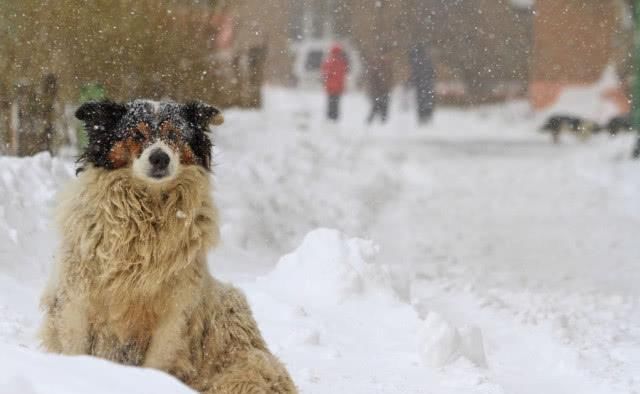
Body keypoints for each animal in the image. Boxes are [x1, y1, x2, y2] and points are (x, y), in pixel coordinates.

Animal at [39, 100, 298, 392]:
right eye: (137, 134)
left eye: (174, 134)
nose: (160, 158)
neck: (147, 214)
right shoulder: (75, 302)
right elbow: (75, 347)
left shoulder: (174, 317)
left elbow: (158, 361)